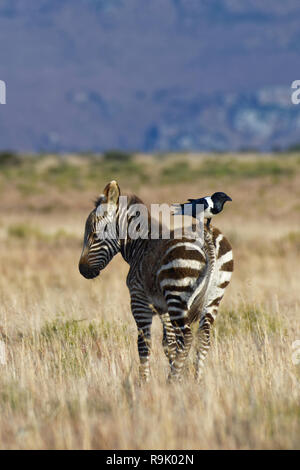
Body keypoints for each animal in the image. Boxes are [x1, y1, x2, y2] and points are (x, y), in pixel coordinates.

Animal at [78, 180, 233, 382]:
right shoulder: (162, 307)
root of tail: (208, 238)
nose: (82, 270)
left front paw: (144, 382)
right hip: (214, 295)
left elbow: (144, 344)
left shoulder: (139, 300)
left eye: (94, 235)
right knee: (203, 337)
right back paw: (196, 380)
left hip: (177, 292)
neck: (140, 246)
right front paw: (179, 372)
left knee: (186, 337)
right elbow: (168, 344)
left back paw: (172, 382)